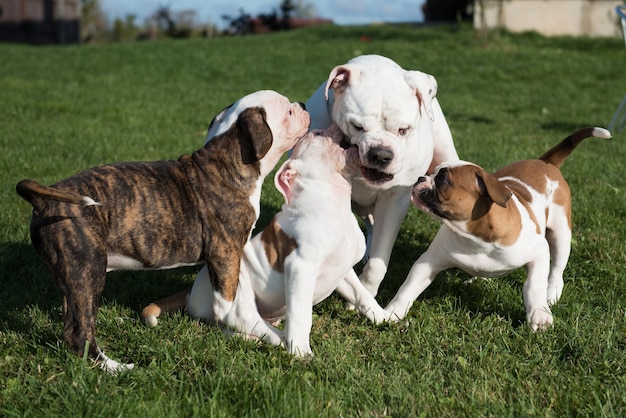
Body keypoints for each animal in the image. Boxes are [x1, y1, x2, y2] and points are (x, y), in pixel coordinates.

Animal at [14, 91, 308, 372]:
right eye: (288, 112)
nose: (303, 104)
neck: (226, 162)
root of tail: (44, 200)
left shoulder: (232, 254)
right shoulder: (225, 253)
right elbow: (228, 304)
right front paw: (266, 334)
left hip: (72, 274)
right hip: (86, 269)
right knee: (79, 331)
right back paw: (114, 367)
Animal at [143, 124, 388, 356]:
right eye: (317, 134)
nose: (340, 125)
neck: (333, 202)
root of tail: (191, 291)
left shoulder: (342, 270)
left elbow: (362, 295)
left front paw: (384, 317)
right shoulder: (300, 267)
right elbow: (301, 315)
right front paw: (300, 350)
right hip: (236, 284)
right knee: (234, 321)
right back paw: (272, 338)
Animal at [306, 54, 458, 298]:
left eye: (403, 130)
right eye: (357, 126)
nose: (381, 153)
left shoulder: (394, 200)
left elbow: (380, 258)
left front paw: (366, 290)